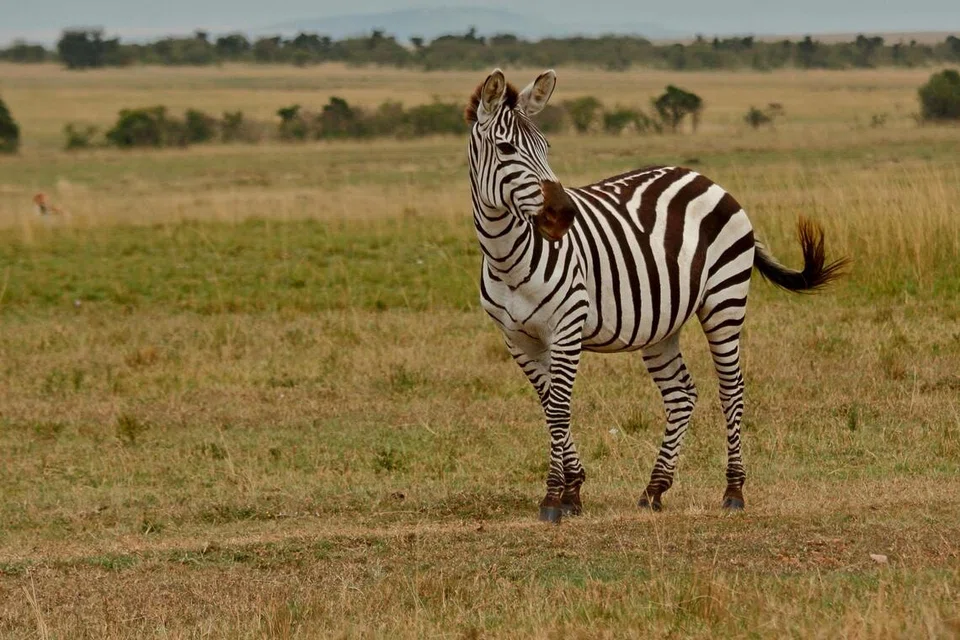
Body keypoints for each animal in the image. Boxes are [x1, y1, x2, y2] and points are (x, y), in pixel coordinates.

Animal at [466, 69, 847, 522]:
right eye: (506, 148)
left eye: (546, 146)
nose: (564, 215)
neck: (509, 258)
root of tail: (704, 178)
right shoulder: (516, 338)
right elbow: (548, 405)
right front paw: (574, 489)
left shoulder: (567, 327)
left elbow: (558, 407)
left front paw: (554, 497)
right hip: (661, 324)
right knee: (681, 394)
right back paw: (654, 489)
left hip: (725, 300)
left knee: (731, 389)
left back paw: (734, 490)